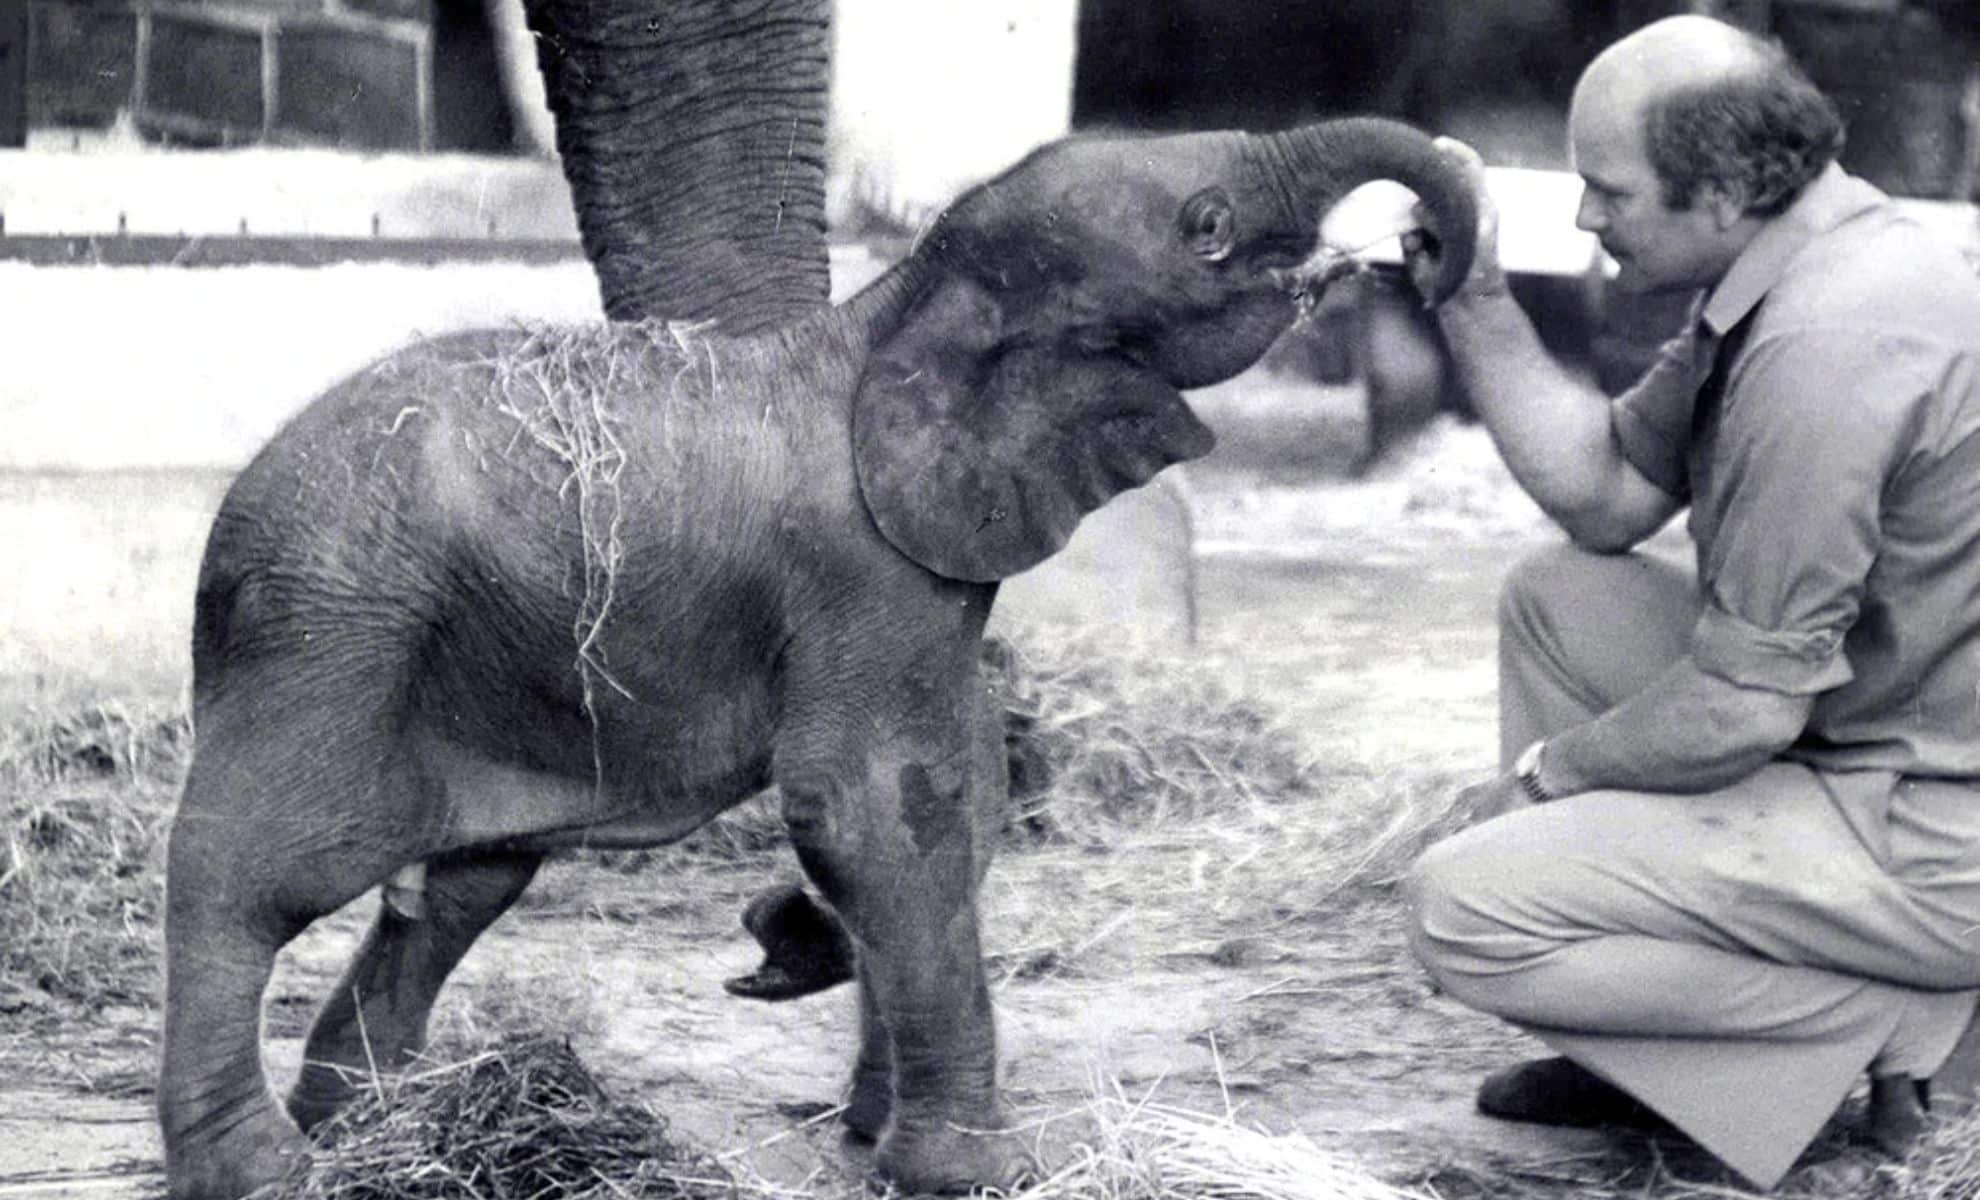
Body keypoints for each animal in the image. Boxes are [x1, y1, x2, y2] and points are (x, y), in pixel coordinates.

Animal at [154, 10, 1478, 1200]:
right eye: (1207, 229)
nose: (1423, 252)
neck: (895, 309)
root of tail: (225, 532)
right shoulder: (860, 572)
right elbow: (877, 806)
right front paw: (970, 1173)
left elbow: (954, 792)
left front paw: (870, 1125)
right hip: (336, 630)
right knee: (255, 872)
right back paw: (265, 1169)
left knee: (463, 882)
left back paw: (375, 1123)